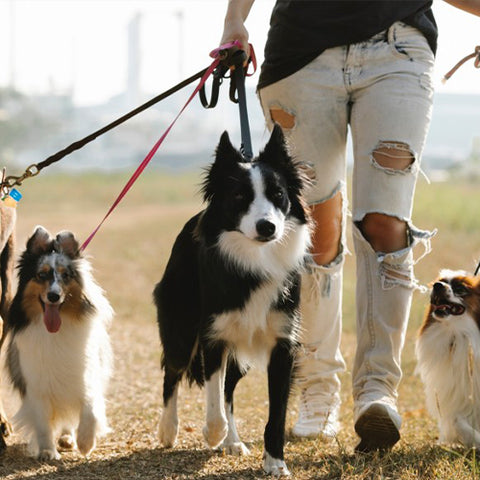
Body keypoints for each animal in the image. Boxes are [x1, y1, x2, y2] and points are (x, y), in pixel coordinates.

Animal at [5, 227, 114, 460]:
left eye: (66, 275)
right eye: (42, 275)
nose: (53, 296)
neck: (55, 333)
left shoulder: (85, 376)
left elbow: (90, 409)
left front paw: (85, 443)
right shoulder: (36, 385)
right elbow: (43, 424)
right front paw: (47, 451)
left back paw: (68, 438)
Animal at [154, 124, 312, 476]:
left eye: (278, 194)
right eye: (240, 196)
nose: (267, 227)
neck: (254, 259)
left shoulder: (283, 342)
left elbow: (275, 412)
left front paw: (275, 462)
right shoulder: (214, 335)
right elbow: (213, 397)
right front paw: (213, 433)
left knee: (228, 388)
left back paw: (233, 441)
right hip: (181, 324)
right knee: (173, 372)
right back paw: (169, 430)